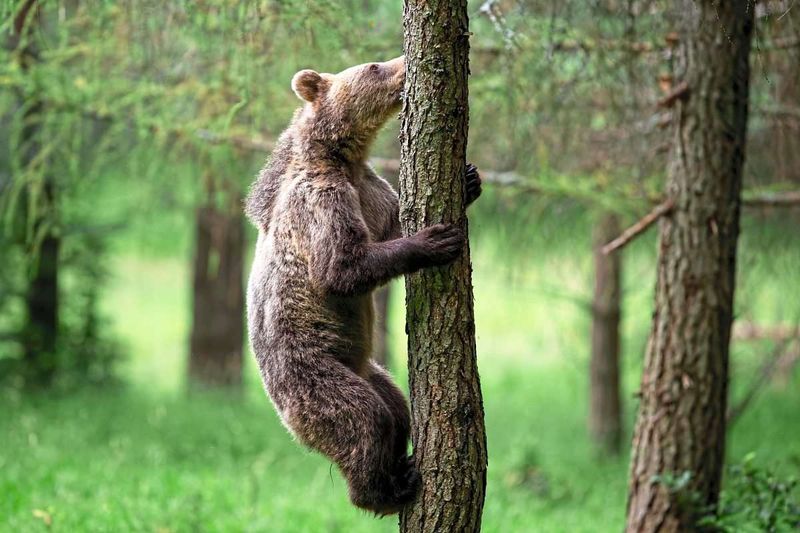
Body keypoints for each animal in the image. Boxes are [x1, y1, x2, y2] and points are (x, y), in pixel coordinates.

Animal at [244, 56, 482, 512]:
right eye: (373, 66)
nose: (404, 62)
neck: (342, 159)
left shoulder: (370, 191)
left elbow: (390, 223)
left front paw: (469, 181)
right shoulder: (322, 202)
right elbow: (342, 269)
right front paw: (434, 240)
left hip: (368, 369)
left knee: (397, 408)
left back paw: (401, 462)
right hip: (313, 374)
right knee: (363, 420)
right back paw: (383, 489)